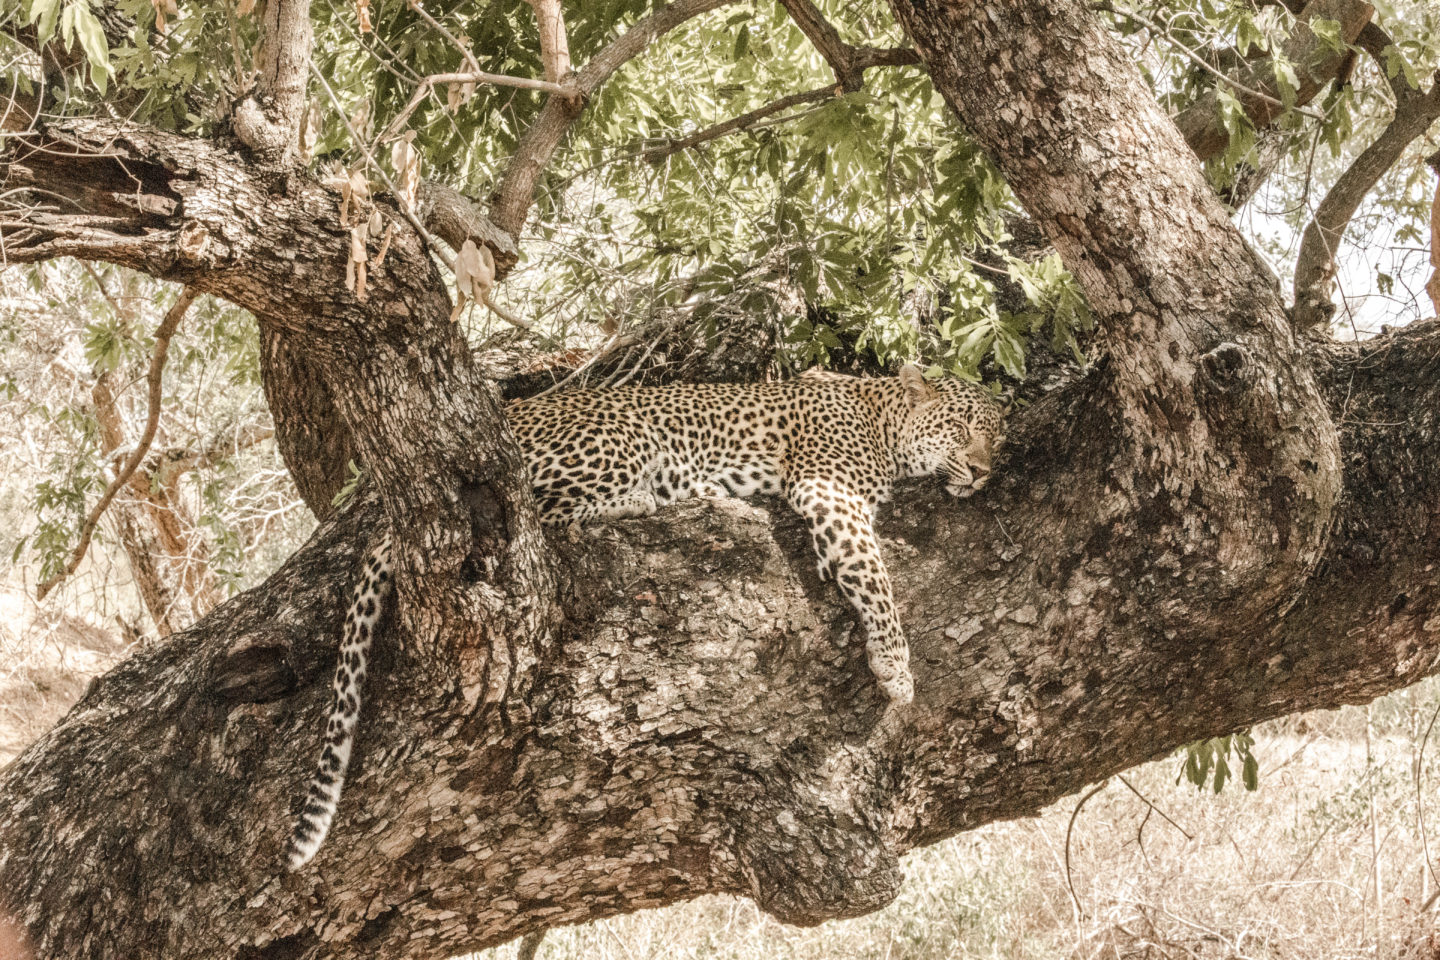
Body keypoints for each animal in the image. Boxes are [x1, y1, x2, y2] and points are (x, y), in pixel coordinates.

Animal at [280, 362, 1002, 869]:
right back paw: (664, 496)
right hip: (618, 440)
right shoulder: (830, 489)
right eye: (962, 430)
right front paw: (895, 667)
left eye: (996, 437)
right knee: (533, 516)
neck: (882, 415)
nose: (982, 471)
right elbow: (873, 576)